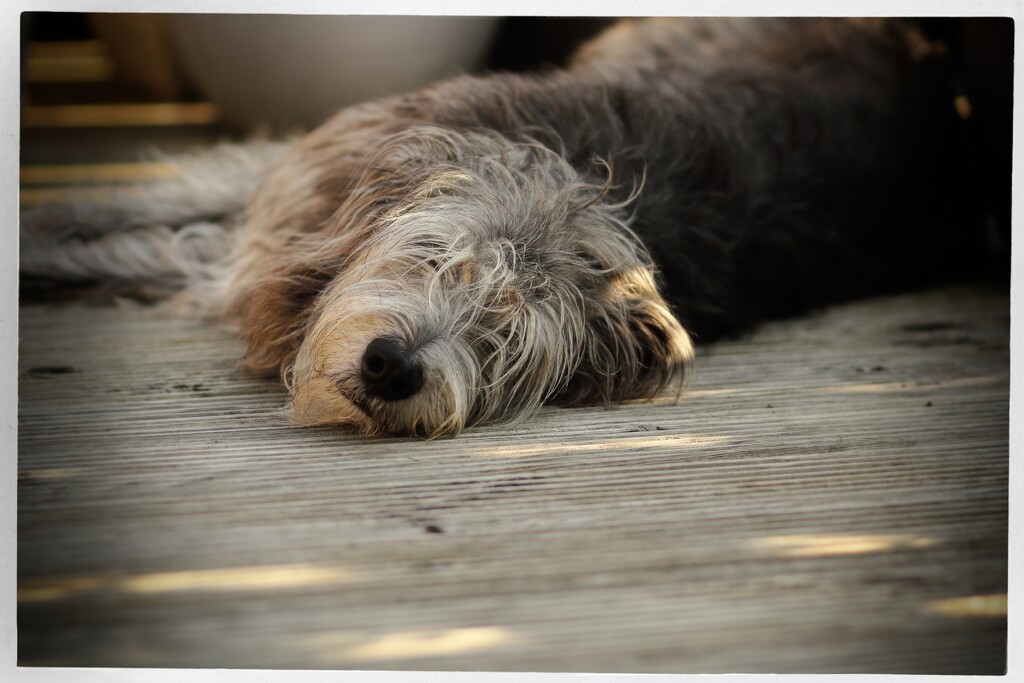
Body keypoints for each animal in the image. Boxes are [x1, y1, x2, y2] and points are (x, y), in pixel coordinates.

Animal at [22, 17, 966, 438]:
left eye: (508, 339)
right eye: (441, 260)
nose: (393, 366)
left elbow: (146, 249)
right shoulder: (289, 184)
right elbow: (135, 215)